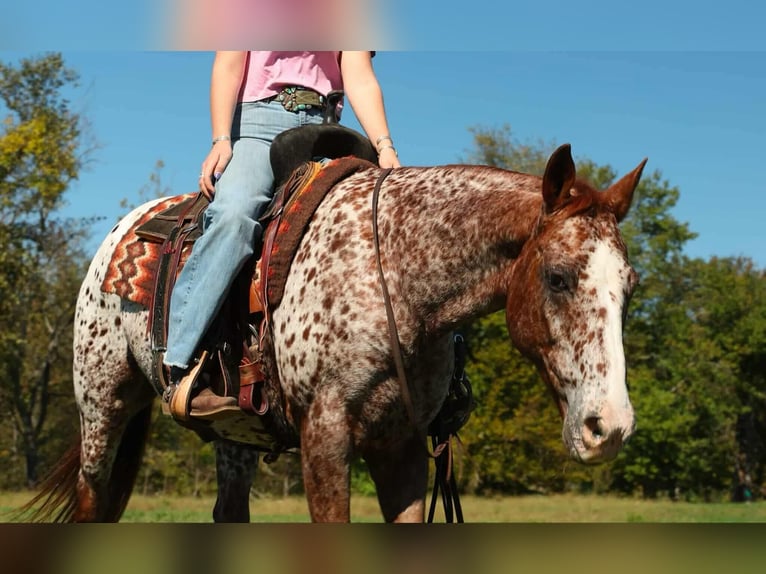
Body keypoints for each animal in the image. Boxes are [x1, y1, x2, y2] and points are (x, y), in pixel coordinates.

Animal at [24, 143, 646, 522]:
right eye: (558, 276)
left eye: (631, 286)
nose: (609, 427)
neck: (394, 272)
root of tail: (123, 229)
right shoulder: (325, 436)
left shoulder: (402, 447)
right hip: (103, 401)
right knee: (92, 495)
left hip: (235, 432)